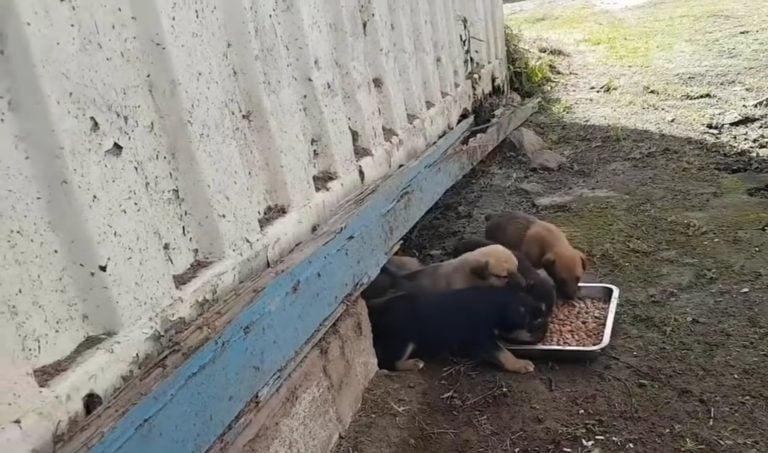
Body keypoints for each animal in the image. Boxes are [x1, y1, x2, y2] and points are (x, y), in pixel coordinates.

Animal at [368, 288, 548, 372]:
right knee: (389, 362)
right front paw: (521, 364)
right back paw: (413, 363)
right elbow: (504, 353)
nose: (545, 333)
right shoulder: (482, 338)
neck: (494, 307)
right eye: (536, 324)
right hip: (401, 341)